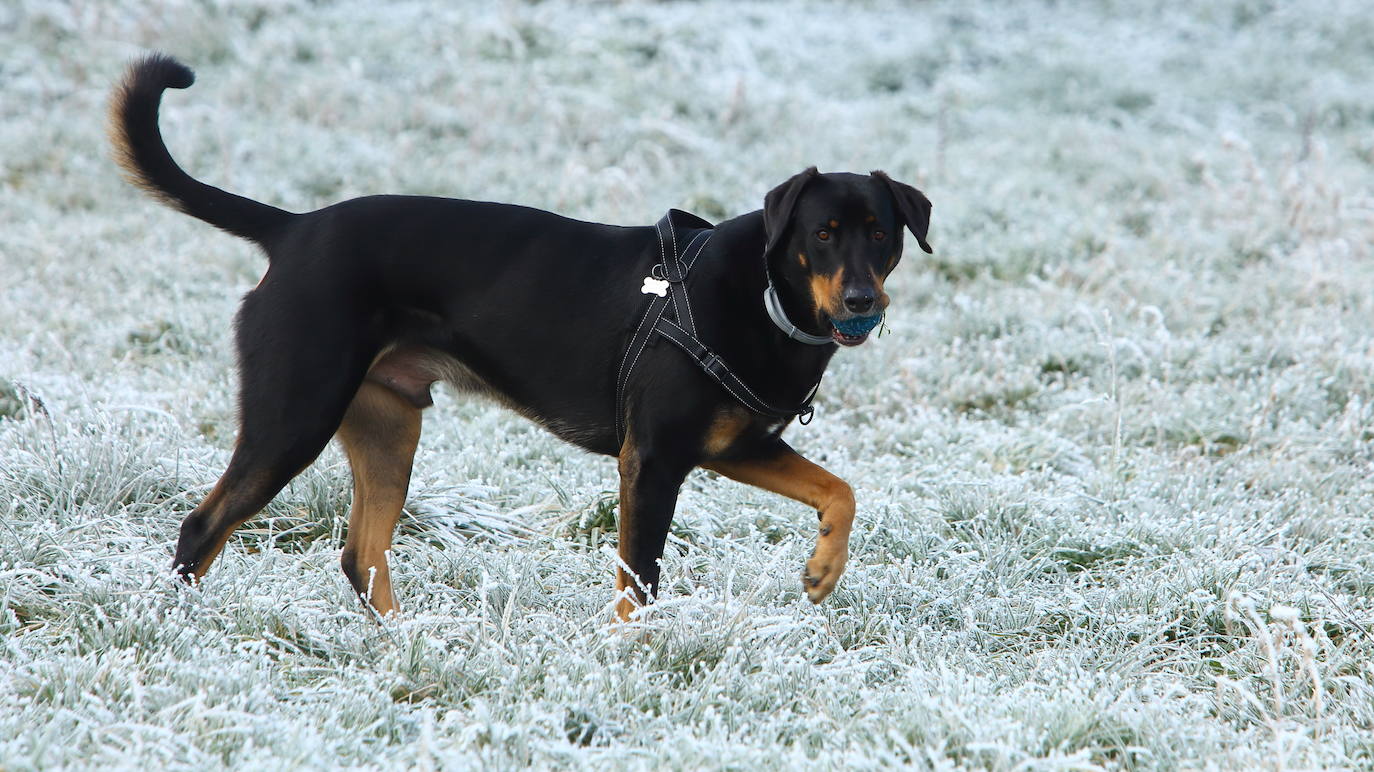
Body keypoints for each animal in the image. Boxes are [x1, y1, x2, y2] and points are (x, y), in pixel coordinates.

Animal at [109, 54, 934, 618]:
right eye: (822, 234)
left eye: (882, 233)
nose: (863, 299)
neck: (761, 300)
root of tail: (293, 229)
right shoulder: (652, 460)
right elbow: (639, 579)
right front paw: (630, 655)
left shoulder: (735, 446)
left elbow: (839, 491)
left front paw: (823, 571)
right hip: (294, 415)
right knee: (203, 527)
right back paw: (182, 631)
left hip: (386, 426)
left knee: (360, 554)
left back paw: (406, 646)